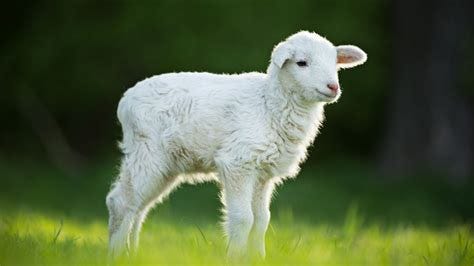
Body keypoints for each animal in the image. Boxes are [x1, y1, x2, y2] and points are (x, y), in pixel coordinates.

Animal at [106, 30, 366, 258]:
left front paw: (259, 258)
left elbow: (261, 220)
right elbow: (243, 219)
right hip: (147, 151)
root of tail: (125, 101)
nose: (333, 87)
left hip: (166, 165)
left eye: (335, 62)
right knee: (121, 203)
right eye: (302, 63)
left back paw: (133, 253)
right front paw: (235, 257)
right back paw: (116, 255)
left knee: (139, 207)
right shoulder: (238, 163)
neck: (269, 103)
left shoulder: (263, 173)